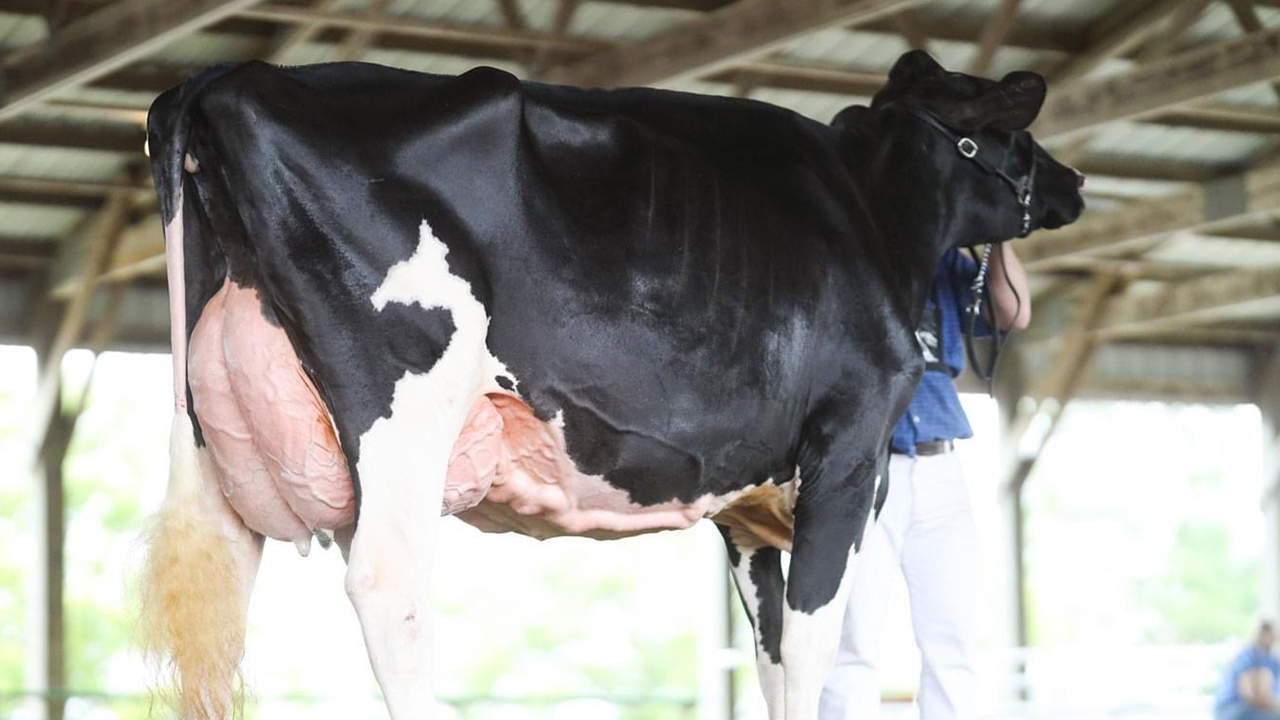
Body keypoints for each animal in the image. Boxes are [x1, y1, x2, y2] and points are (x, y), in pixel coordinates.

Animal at [137, 50, 1080, 717]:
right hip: (406, 407)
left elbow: (771, 658)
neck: (874, 210)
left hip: (217, 443)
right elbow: (815, 648)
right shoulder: (850, 452)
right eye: (1011, 131)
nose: (1072, 182)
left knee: (217, 599)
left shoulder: (748, 512)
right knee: (387, 587)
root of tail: (231, 74)